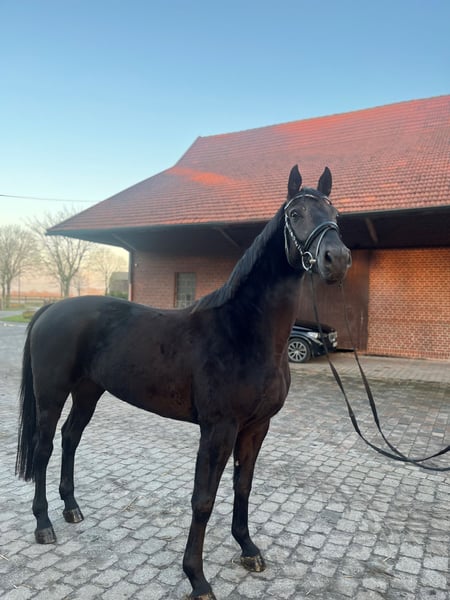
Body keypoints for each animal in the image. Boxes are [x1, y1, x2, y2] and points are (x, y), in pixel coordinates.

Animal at [16, 165, 351, 599]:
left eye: (336, 215)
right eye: (296, 215)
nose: (337, 259)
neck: (244, 332)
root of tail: (52, 308)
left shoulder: (257, 427)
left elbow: (243, 486)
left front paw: (248, 549)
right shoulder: (218, 429)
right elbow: (203, 500)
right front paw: (197, 578)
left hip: (88, 390)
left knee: (71, 437)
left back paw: (72, 509)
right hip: (51, 394)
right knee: (44, 448)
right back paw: (44, 525)